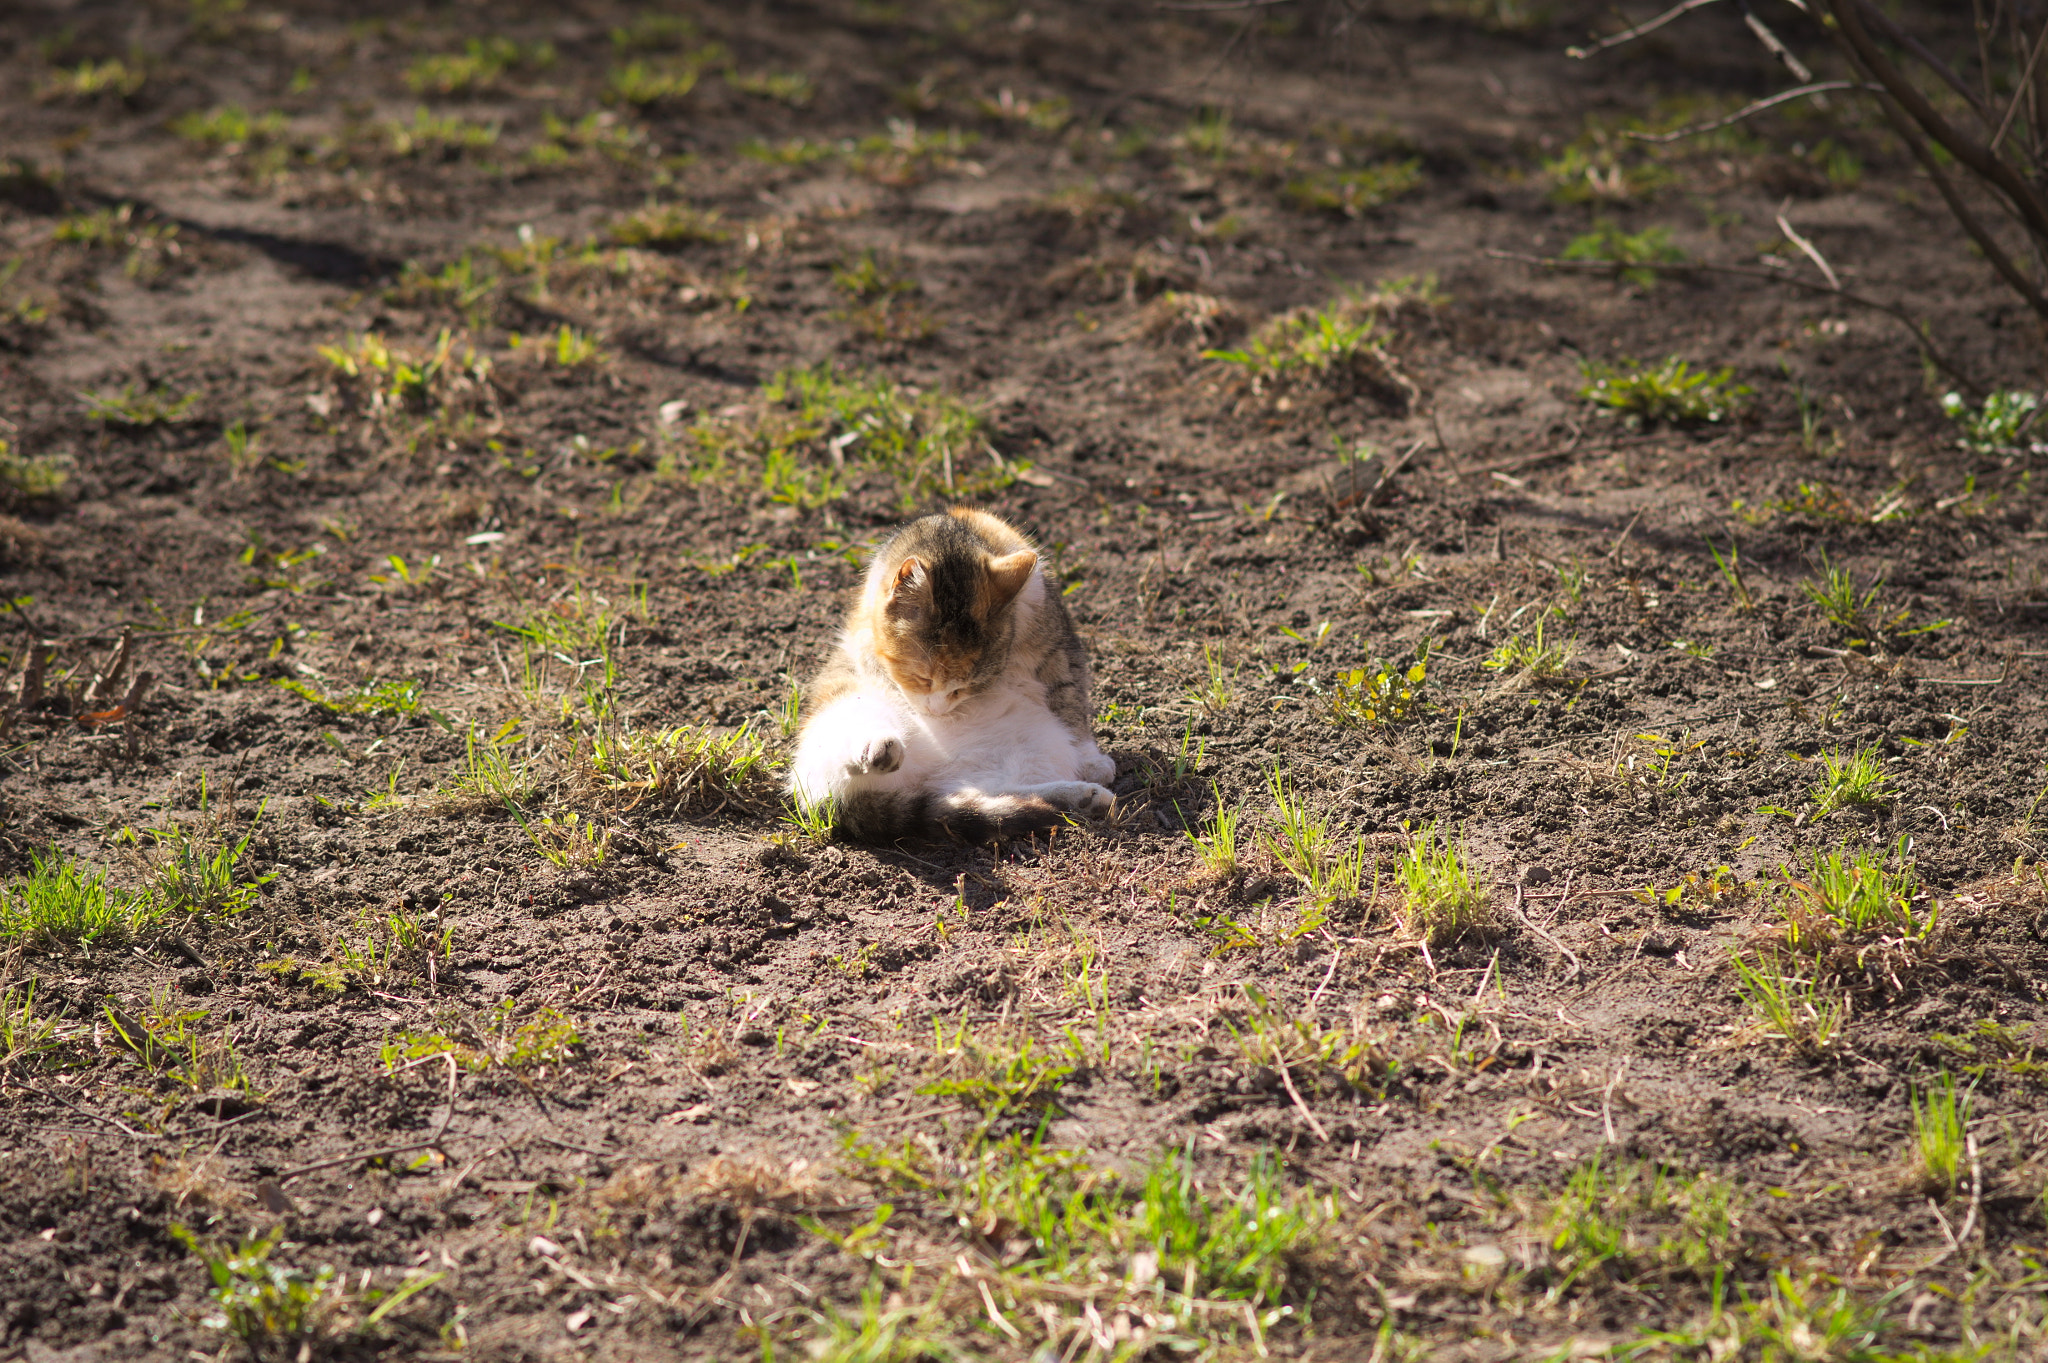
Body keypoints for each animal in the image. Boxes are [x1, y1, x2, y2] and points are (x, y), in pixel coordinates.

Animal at [790, 507, 1122, 839]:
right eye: (922, 679)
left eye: (966, 687)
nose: (938, 713)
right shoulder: (863, 630)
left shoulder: (1057, 643)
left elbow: (1071, 697)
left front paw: (1090, 759)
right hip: (843, 714)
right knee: (845, 760)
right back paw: (878, 749)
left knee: (998, 794)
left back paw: (1082, 798)